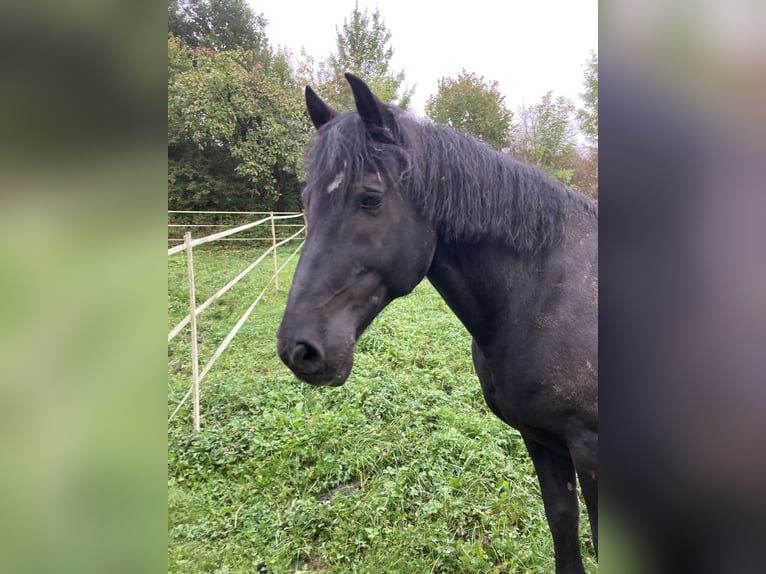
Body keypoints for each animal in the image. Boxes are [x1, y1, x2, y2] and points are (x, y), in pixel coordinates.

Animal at [277, 73, 598, 574]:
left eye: (370, 198)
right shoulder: (542, 439)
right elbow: (562, 524)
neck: (545, 290)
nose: (299, 348)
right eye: (307, 201)